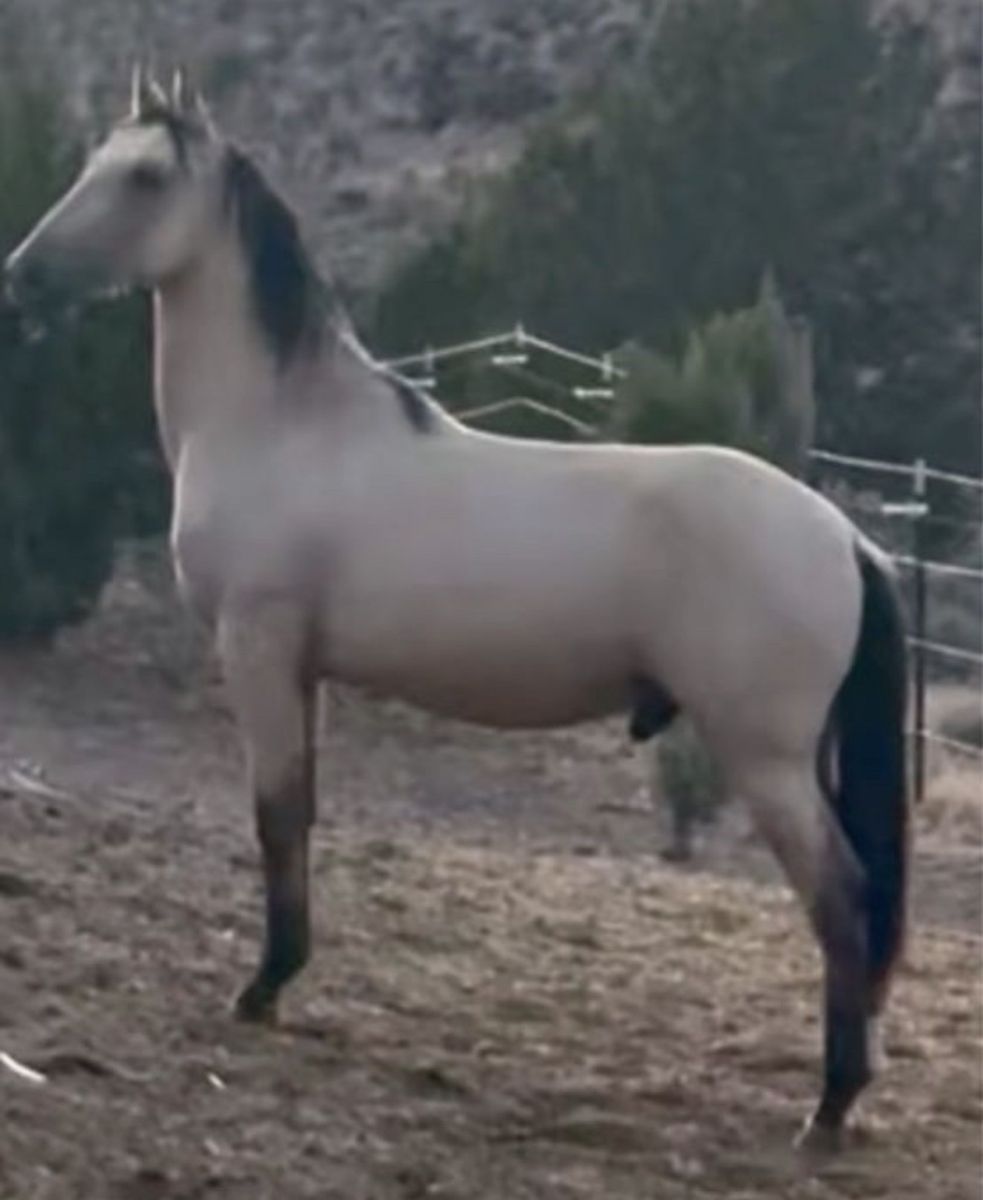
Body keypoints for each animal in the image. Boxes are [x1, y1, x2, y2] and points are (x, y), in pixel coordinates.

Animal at [4, 68, 909, 1153]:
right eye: (91, 161)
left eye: (143, 178)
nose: (22, 278)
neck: (286, 426)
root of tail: (844, 538)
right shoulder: (304, 668)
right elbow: (300, 811)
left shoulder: (256, 647)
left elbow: (275, 813)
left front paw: (260, 990)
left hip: (764, 759)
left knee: (843, 901)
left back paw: (828, 1108)